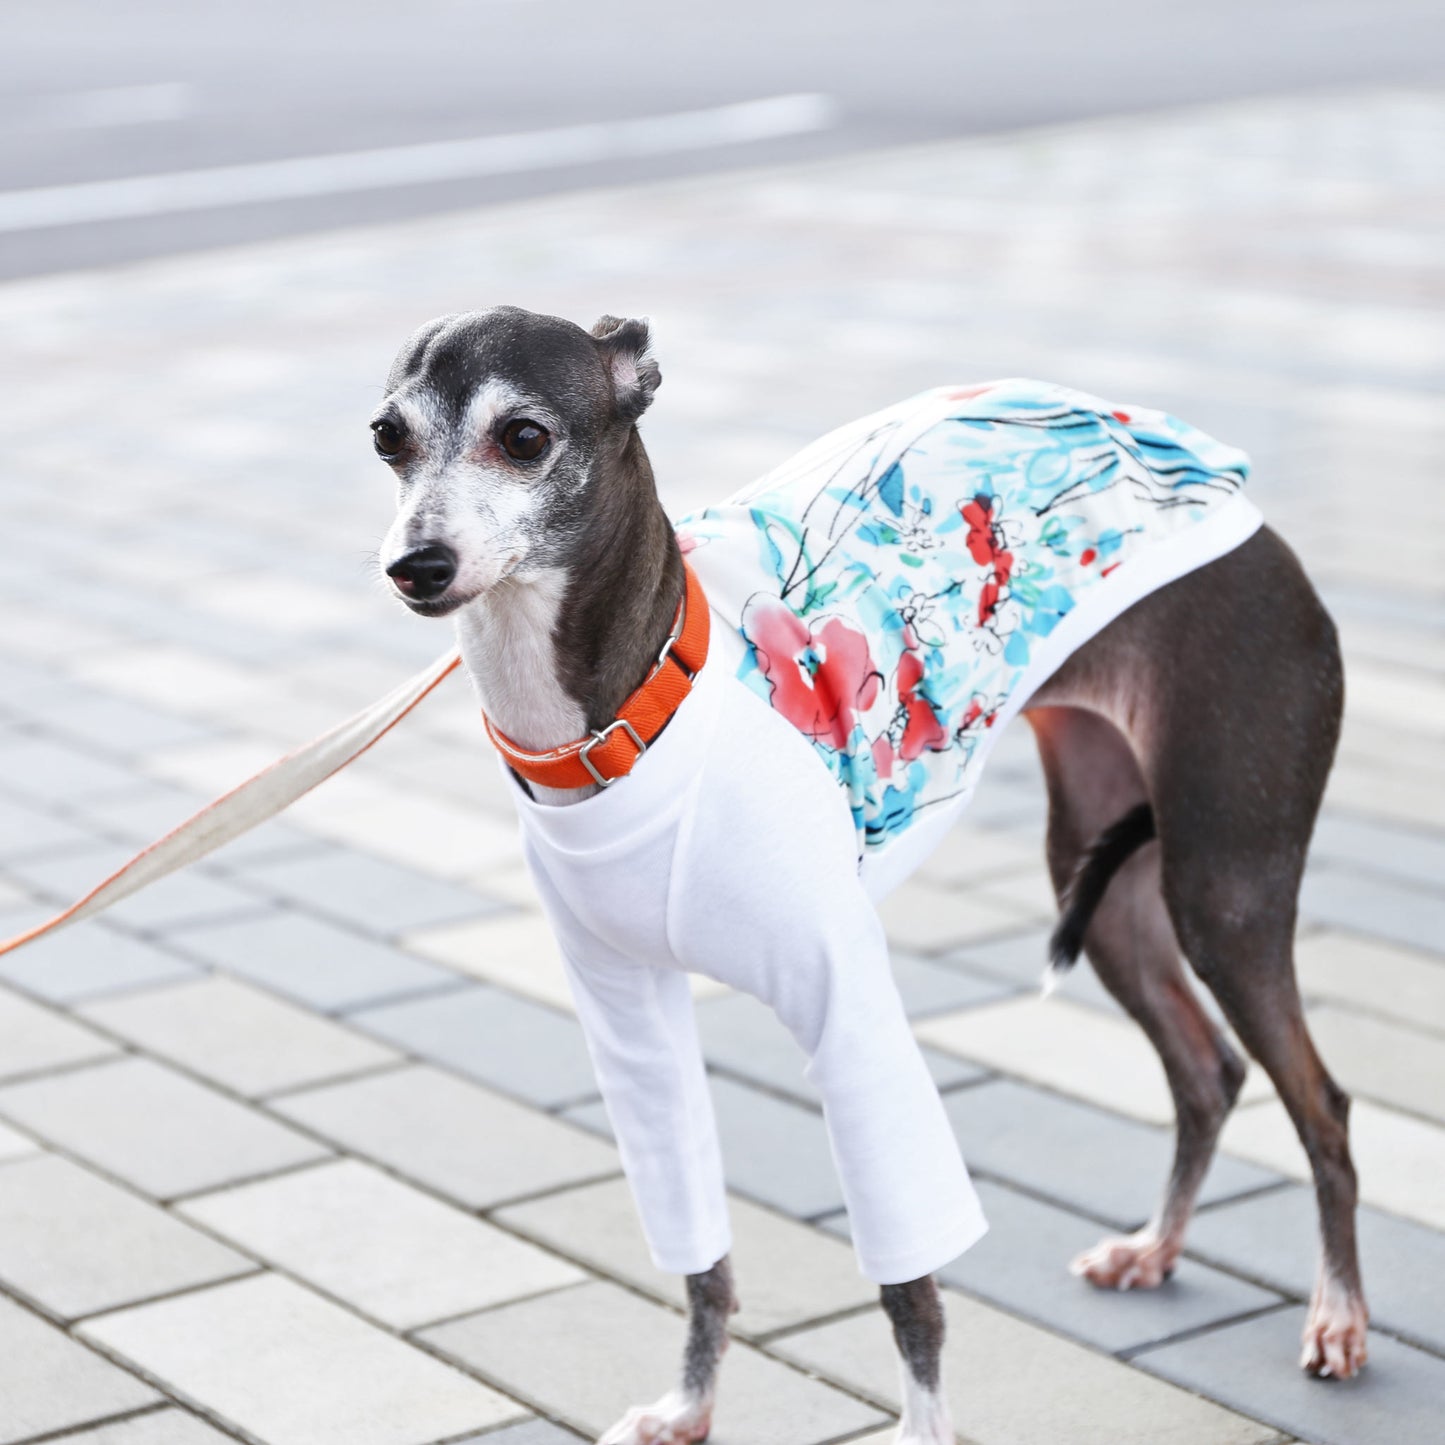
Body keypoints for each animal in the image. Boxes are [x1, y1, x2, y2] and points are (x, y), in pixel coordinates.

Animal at [375, 302, 1364, 1433]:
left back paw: (1337, 1316)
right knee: (1206, 1071)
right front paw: (689, 1403)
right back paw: (1155, 1246)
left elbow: (907, 1279)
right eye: (386, 437)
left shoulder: (847, 1007)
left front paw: (924, 1426)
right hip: (1103, 881)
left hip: (1220, 886)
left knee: (1320, 1102)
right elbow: (697, 1250)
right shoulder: (627, 1017)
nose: (415, 564)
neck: (630, 708)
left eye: (524, 436)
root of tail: (1225, 490)